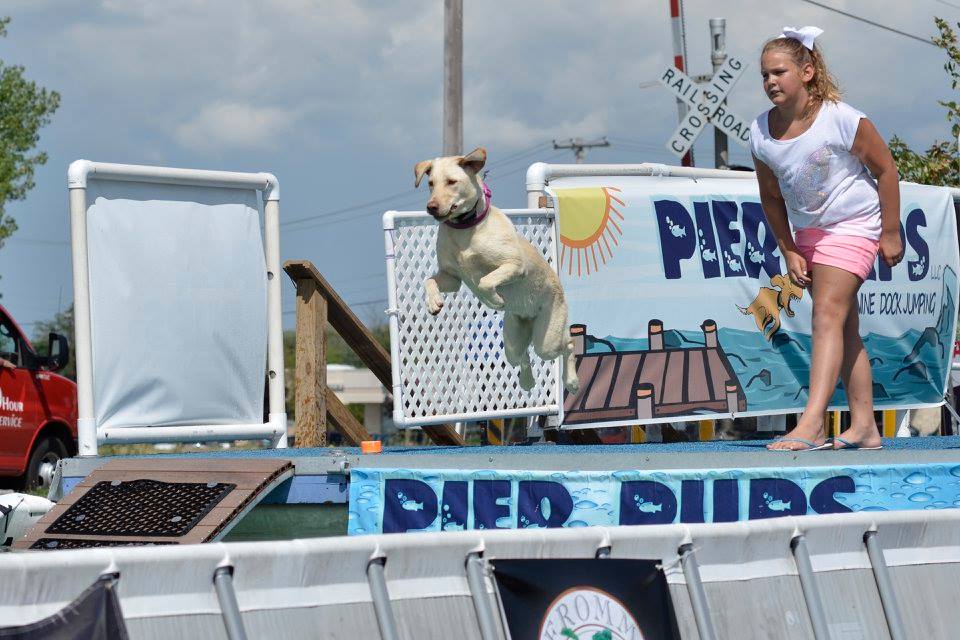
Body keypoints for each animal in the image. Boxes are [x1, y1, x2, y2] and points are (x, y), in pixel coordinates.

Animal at [412, 147, 576, 392]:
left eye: (452, 181)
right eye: (431, 183)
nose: (431, 207)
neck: (464, 228)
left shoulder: (515, 265)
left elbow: (485, 281)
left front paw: (496, 300)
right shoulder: (451, 277)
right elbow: (429, 280)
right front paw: (434, 303)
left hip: (548, 339)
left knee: (568, 345)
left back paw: (572, 381)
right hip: (512, 338)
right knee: (522, 356)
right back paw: (527, 381)